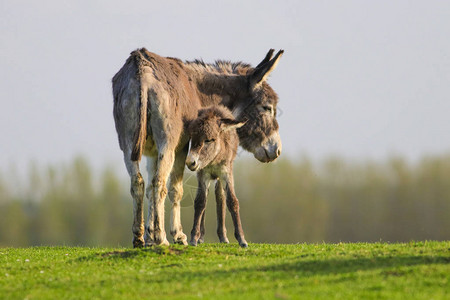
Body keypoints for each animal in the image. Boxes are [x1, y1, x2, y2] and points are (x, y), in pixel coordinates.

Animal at [186, 106, 250, 247]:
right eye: (192, 137)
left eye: (209, 140)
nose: (190, 162)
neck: (214, 159)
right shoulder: (203, 174)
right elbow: (200, 202)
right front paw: (194, 237)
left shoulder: (226, 172)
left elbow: (232, 201)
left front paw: (242, 239)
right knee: (207, 199)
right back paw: (201, 237)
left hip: (220, 178)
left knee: (220, 196)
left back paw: (223, 237)